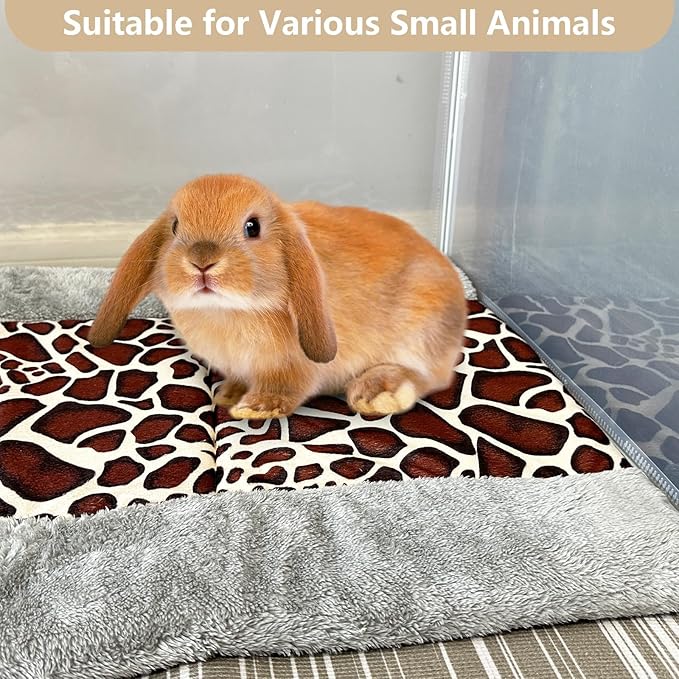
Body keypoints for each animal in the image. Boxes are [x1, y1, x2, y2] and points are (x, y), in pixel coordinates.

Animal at [88, 174, 467, 420]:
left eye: (252, 227)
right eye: (175, 226)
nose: (201, 261)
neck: (228, 311)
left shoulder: (293, 369)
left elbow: (285, 389)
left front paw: (252, 408)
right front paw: (228, 395)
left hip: (420, 332)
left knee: (426, 378)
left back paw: (377, 393)